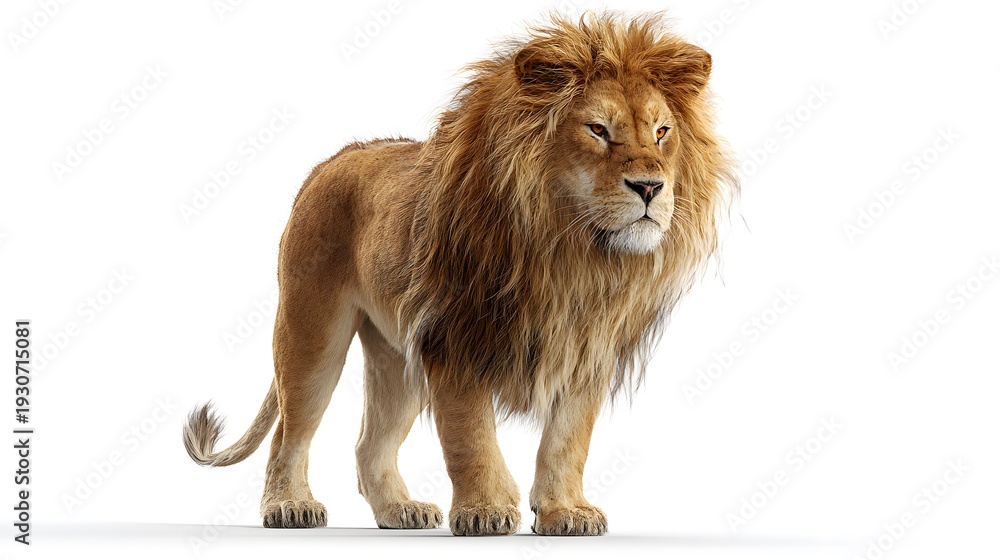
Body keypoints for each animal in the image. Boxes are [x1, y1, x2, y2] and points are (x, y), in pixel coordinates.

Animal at [183, 12, 736, 536]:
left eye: (662, 132)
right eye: (598, 129)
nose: (650, 187)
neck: (571, 252)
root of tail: (335, 158)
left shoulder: (584, 348)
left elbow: (568, 440)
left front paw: (565, 512)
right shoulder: (453, 337)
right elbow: (470, 437)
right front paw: (485, 511)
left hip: (394, 355)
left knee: (368, 445)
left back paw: (400, 511)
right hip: (311, 331)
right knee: (290, 432)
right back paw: (289, 505)